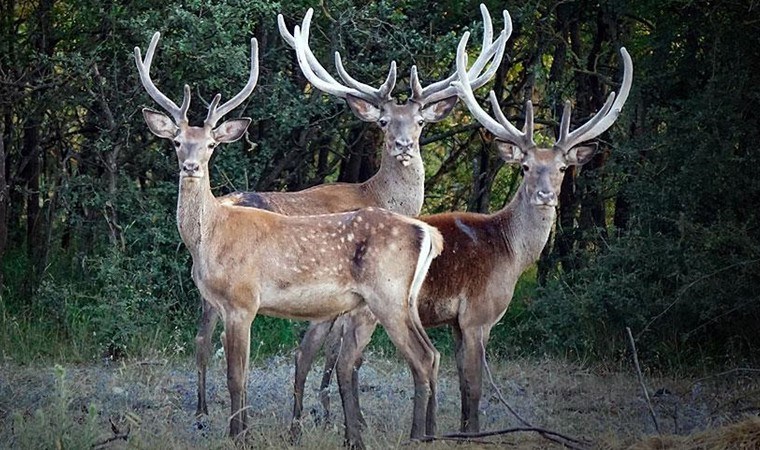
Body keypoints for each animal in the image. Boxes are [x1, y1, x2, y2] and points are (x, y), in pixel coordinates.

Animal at [135, 31, 446, 446]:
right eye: (176, 141)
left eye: (211, 144)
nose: (190, 166)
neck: (212, 238)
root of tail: (427, 232)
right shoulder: (222, 303)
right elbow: (237, 371)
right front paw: (241, 429)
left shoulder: (243, 300)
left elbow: (237, 377)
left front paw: (240, 435)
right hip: (400, 300)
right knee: (431, 355)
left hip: (387, 294)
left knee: (421, 357)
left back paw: (415, 435)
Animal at [296, 33, 636, 434]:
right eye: (524, 167)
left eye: (563, 167)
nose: (545, 195)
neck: (510, 252)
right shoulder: (477, 315)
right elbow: (474, 384)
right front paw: (471, 432)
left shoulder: (457, 323)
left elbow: (459, 381)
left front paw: (455, 429)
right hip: (369, 308)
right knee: (342, 360)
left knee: (311, 353)